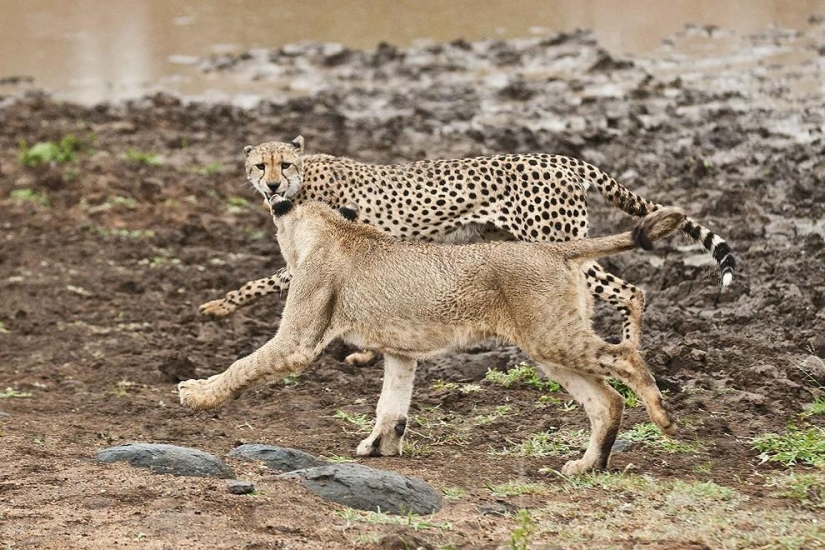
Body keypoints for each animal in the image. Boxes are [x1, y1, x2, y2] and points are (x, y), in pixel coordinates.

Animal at [179, 197, 687, 474]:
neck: (327, 227)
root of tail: (553, 248)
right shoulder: (401, 352)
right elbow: (392, 405)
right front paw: (381, 447)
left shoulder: (298, 341)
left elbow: (242, 364)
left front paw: (197, 394)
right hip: (547, 346)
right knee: (606, 400)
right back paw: (588, 465)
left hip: (551, 337)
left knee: (626, 361)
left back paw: (664, 419)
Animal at [199, 136, 735, 360]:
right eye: (260, 165)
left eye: (284, 164)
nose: (271, 185)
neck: (304, 181)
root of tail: (561, 158)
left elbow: (267, 278)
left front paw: (218, 306)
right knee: (627, 290)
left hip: (556, 242)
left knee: (631, 291)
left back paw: (629, 351)